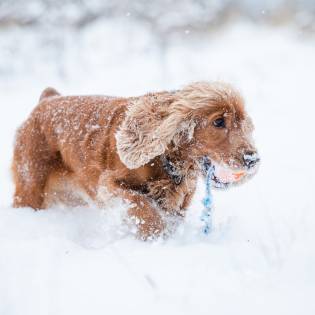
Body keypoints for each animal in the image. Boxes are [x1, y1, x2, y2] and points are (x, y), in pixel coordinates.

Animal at [11, 82, 260, 241]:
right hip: (30, 185)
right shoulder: (110, 185)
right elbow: (142, 205)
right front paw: (153, 235)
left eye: (243, 122)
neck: (165, 160)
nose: (253, 159)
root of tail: (47, 99)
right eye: (218, 122)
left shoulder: (180, 202)